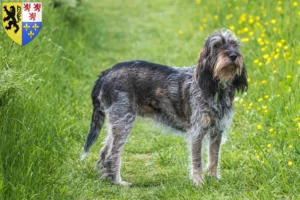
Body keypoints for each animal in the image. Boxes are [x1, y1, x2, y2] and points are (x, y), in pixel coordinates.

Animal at [81, 28, 247, 186]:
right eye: (217, 45)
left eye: (234, 44)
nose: (233, 55)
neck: (215, 89)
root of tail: (106, 72)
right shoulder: (197, 132)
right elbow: (197, 161)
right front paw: (199, 183)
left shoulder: (217, 131)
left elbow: (214, 158)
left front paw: (214, 179)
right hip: (123, 121)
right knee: (112, 154)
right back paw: (118, 182)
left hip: (117, 122)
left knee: (104, 151)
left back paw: (106, 178)